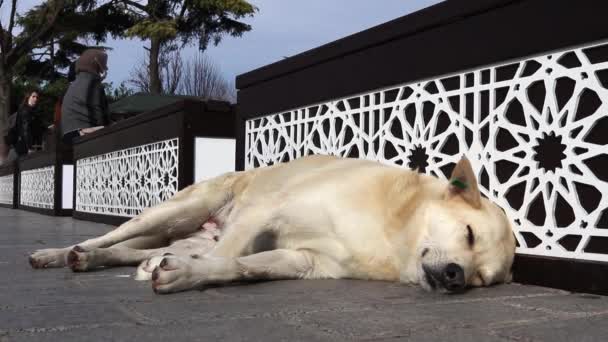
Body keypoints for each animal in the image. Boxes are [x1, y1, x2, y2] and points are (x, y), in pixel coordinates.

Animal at [27, 155, 512, 294]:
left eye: (481, 280)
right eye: (468, 235)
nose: (456, 277)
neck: (393, 237)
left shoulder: (303, 261)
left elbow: (235, 266)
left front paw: (190, 273)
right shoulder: (264, 213)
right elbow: (227, 256)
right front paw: (190, 273)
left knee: (136, 250)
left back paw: (119, 261)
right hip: (182, 208)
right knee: (111, 235)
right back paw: (63, 252)